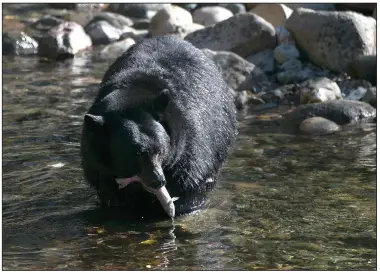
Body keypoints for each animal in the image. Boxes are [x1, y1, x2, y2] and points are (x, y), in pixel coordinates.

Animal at [81, 36, 238, 218]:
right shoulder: (96, 159)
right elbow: (108, 188)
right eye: (136, 154)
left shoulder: (191, 141)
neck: (132, 94)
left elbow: (191, 178)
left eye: (160, 150)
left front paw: (182, 205)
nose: (158, 181)